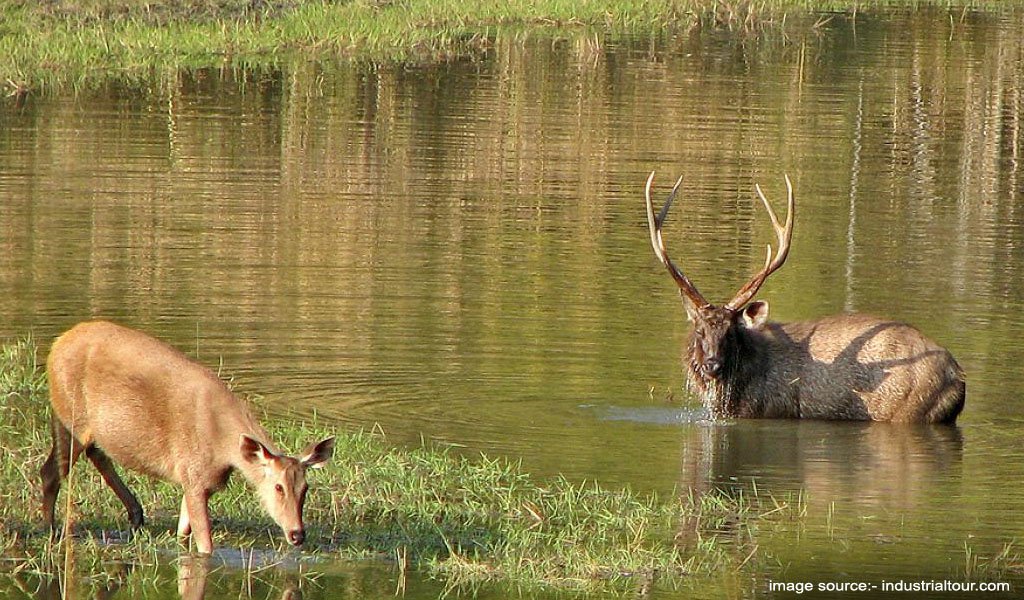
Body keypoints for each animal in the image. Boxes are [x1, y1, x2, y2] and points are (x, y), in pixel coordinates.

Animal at [40, 319, 335, 552]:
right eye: (278, 487)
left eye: (305, 488)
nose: (297, 534)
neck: (223, 447)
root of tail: (55, 347)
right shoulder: (194, 474)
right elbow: (206, 546)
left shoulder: (195, 480)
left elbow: (184, 533)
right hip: (71, 416)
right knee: (52, 470)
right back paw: (52, 531)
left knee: (94, 453)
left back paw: (135, 514)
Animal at [643, 170, 962, 421]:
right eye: (699, 329)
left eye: (730, 332)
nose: (712, 364)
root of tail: (957, 376)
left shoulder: (768, 409)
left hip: (907, 408)